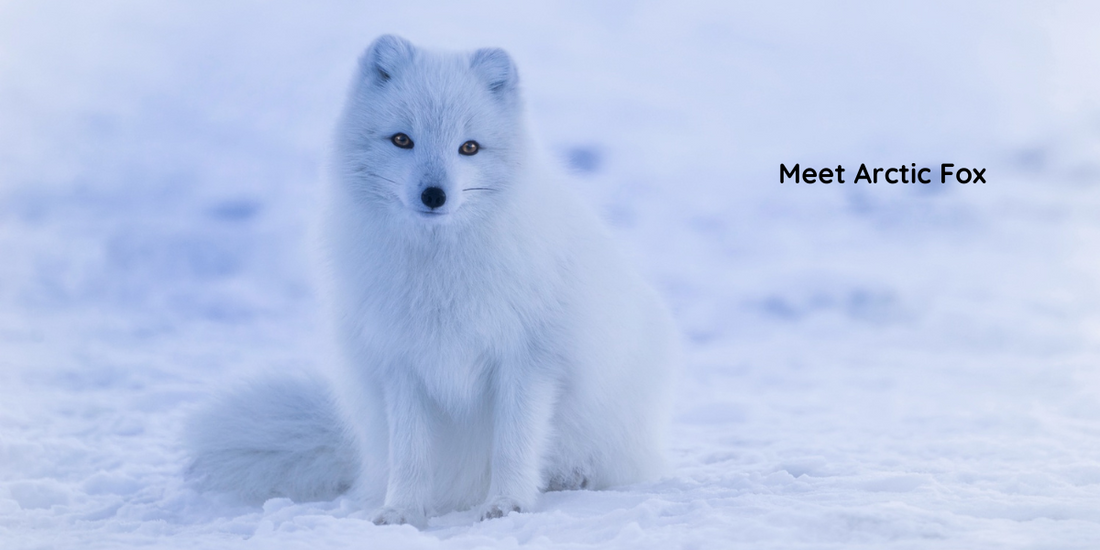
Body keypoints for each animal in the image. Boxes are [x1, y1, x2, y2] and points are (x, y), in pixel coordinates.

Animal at [184, 36, 673, 525]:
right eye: (403, 140)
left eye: (469, 147)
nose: (434, 195)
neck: (439, 272)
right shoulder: (401, 364)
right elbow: (410, 454)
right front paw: (402, 511)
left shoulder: (528, 360)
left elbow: (513, 445)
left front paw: (507, 504)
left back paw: (572, 477)